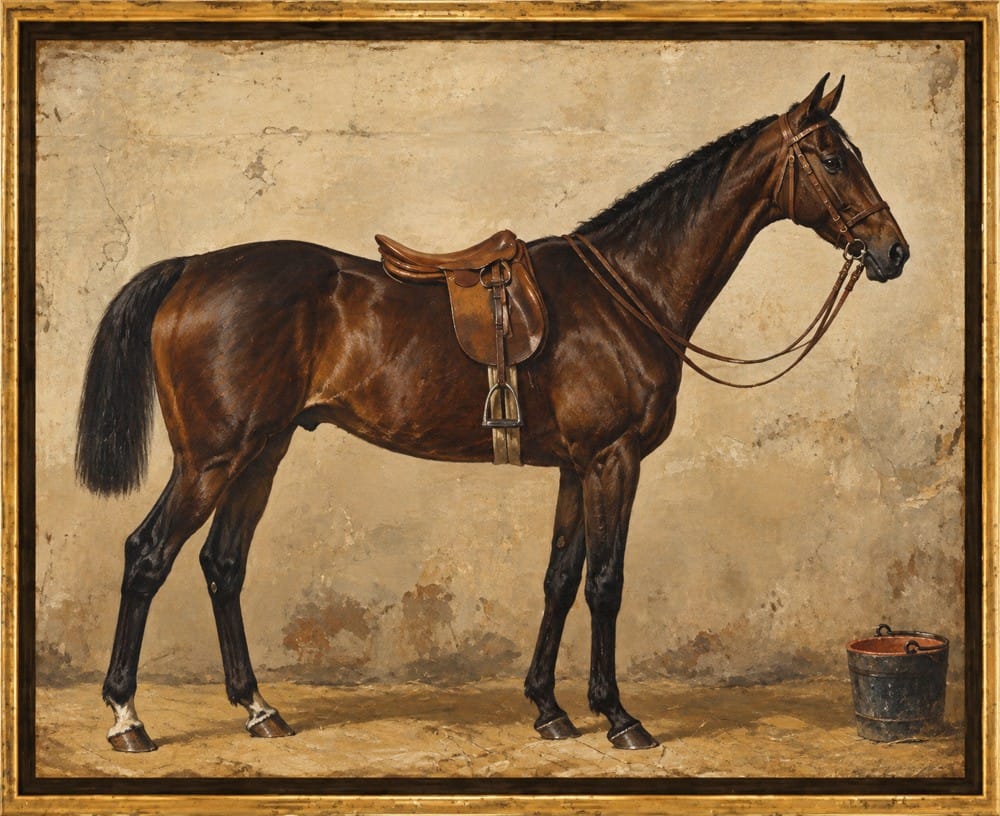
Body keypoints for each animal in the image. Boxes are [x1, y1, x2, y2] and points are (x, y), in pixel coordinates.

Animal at [75, 75, 908, 753]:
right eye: (832, 158)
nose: (893, 250)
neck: (626, 291)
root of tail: (192, 270)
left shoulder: (577, 467)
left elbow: (560, 577)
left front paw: (549, 709)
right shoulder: (612, 460)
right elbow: (606, 582)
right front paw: (619, 717)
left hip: (262, 453)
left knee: (222, 565)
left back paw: (258, 709)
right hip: (211, 459)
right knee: (147, 555)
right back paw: (127, 719)